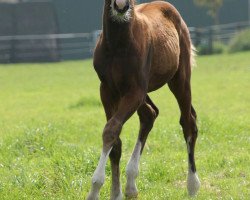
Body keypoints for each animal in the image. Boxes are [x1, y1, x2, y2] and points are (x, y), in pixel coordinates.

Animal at [88, 0, 201, 199]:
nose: (121, 6)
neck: (117, 44)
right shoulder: (107, 90)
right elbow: (115, 139)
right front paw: (115, 193)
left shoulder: (135, 91)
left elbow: (111, 130)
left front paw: (95, 189)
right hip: (137, 92)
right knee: (150, 114)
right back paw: (131, 185)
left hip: (179, 79)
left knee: (188, 122)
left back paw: (192, 185)